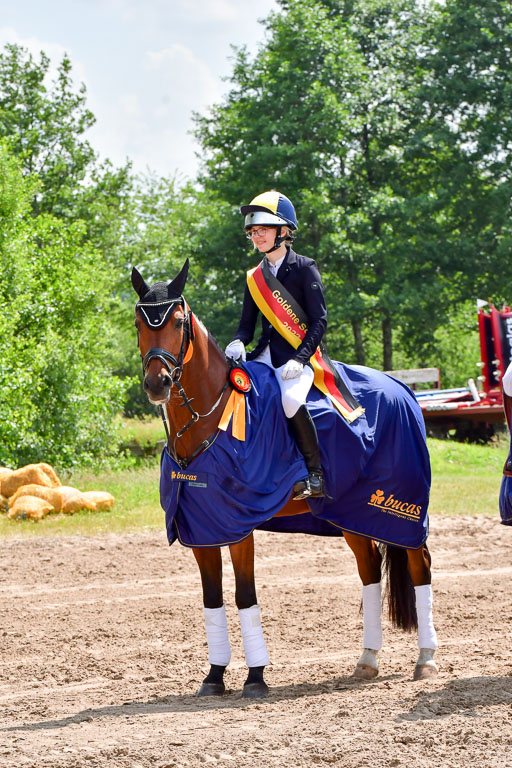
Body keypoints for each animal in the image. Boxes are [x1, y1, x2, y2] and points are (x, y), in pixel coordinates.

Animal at [131, 259, 438, 699]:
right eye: (139, 324)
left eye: (176, 321)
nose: (157, 384)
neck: (211, 413)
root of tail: (402, 388)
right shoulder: (202, 528)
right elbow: (212, 598)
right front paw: (214, 676)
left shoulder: (237, 526)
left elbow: (244, 595)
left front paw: (255, 677)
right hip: (352, 514)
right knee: (368, 571)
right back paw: (367, 660)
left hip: (401, 509)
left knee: (419, 566)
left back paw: (426, 660)